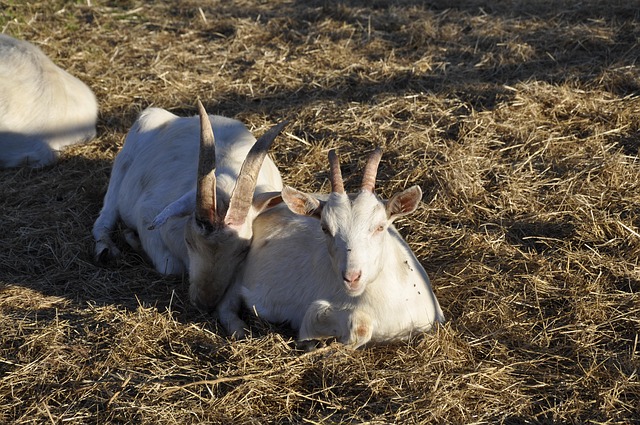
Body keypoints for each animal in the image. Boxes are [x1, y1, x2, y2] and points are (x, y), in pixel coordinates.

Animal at [92, 101, 285, 309]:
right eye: (189, 241)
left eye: (243, 250)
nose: (204, 302)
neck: (227, 180)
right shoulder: (147, 214)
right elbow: (171, 267)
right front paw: (131, 238)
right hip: (122, 164)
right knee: (104, 217)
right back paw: (106, 250)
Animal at [218, 148, 444, 348]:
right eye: (325, 228)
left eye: (380, 227)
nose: (352, 277)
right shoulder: (318, 311)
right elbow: (358, 325)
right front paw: (312, 343)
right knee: (225, 306)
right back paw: (240, 330)